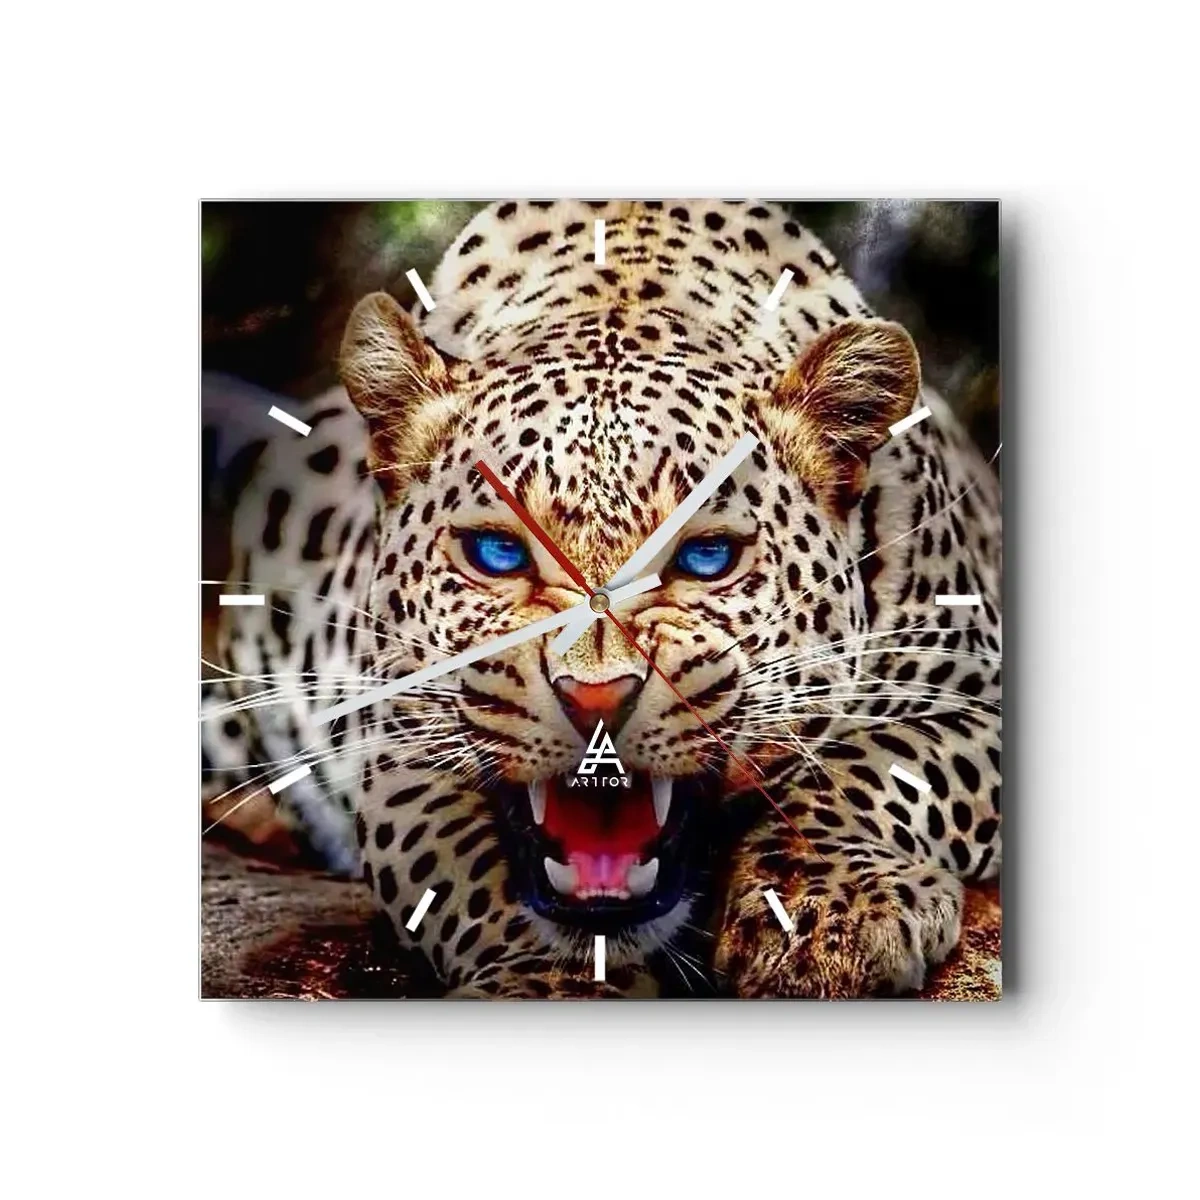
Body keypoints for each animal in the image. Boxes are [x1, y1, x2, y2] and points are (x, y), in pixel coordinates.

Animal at [202, 199, 1002, 999]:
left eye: (706, 557)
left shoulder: (976, 689)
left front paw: (827, 906)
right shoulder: (398, 748)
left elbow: (873, 765)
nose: (595, 699)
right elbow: (470, 871)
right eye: (497, 553)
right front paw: (552, 981)